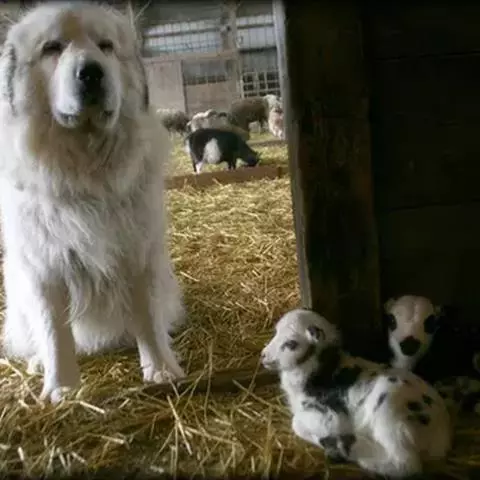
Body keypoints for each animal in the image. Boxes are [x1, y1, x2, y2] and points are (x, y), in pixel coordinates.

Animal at [0, 2, 186, 403]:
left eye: (106, 47)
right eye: (52, 48)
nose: (92, 73)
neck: (84, 165)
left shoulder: (137, 252)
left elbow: (146, 316)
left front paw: (161, 370)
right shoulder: (44, 266)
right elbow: (54, 331)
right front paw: (62, 387)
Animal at [261, 308, 452, 478]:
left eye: (291, 344)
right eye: (275, 332)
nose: (263, 356)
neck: (320, 371)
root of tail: (442, 430)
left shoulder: (332, 416)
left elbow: (297, 423)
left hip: (391, 413)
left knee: (406, 463)